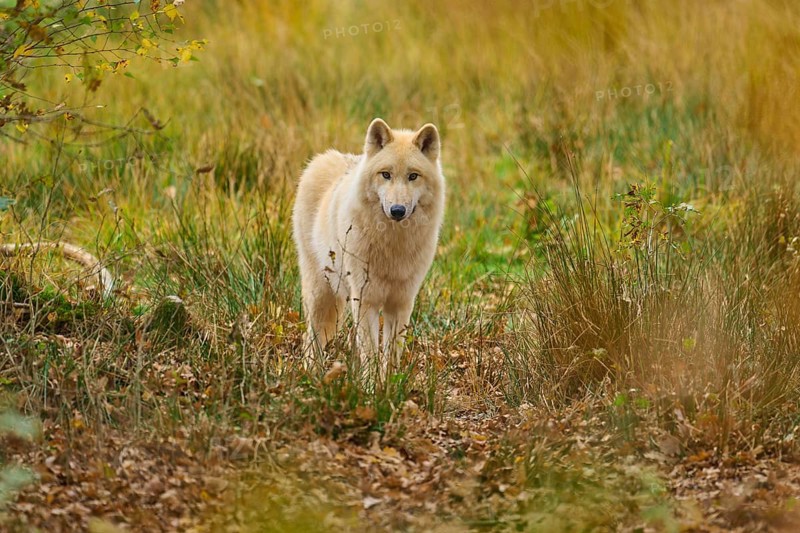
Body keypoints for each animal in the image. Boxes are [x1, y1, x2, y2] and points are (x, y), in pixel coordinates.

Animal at [292, 118, 445, 377]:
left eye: (413, 176)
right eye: (386, 174)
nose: (397, 211)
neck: (393, 245)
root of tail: (324, 158)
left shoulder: (401, 302)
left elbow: (391, 353)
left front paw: (389, 385)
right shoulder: (366, 300)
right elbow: (371, 353)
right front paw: (371, 386)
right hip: (321, 293)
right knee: (310, 338)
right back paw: (311, 375)